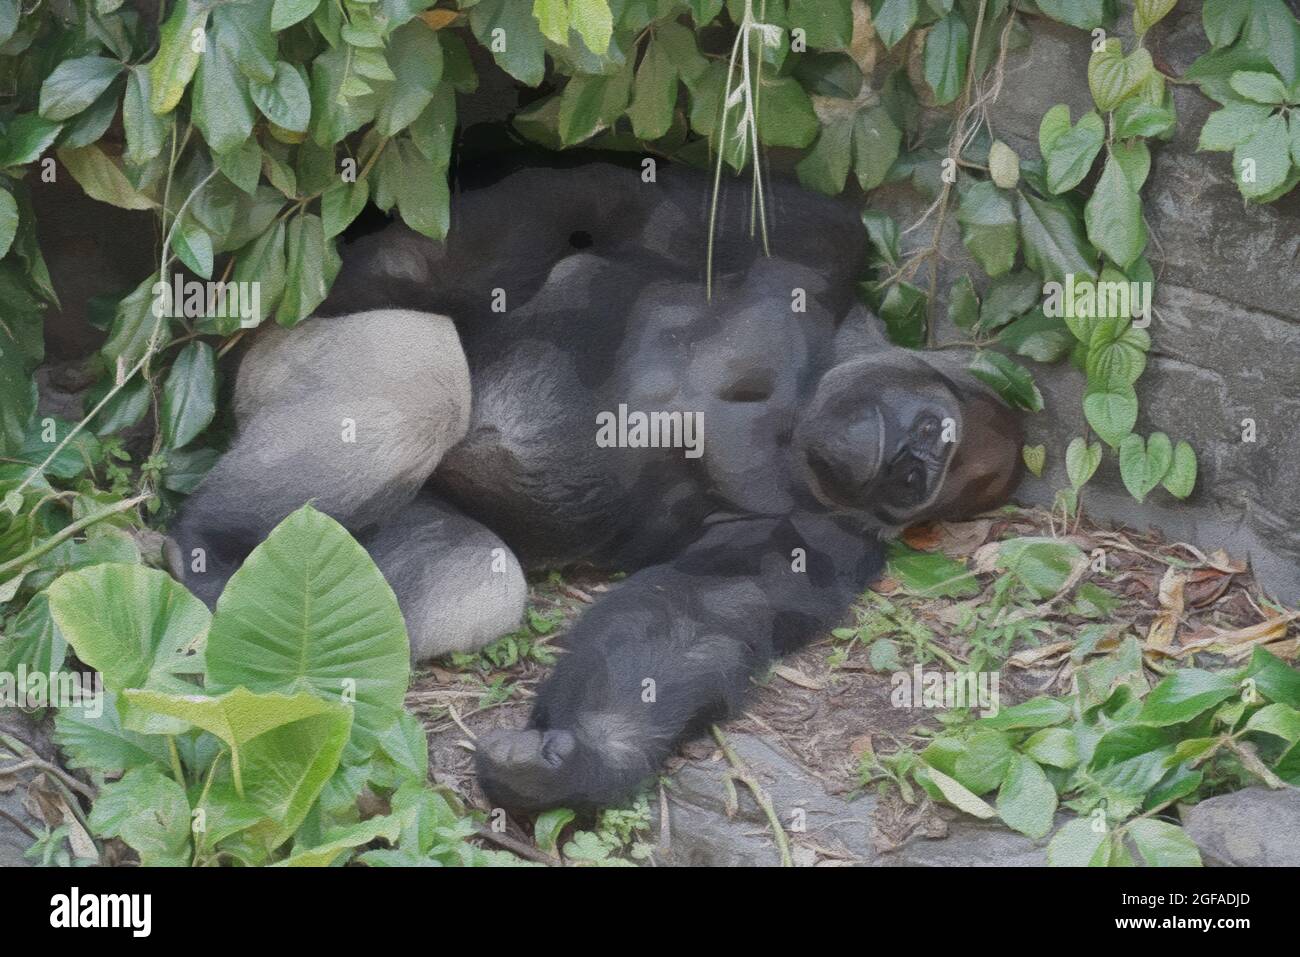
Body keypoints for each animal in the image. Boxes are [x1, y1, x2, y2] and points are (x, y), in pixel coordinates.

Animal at [170, 160, 1024, 812]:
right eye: (928, 435)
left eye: (916, 480)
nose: (902, 465)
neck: (811, 389)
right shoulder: (823, 239)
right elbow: (601, 205)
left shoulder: (833, 540)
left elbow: (695, 618)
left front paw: (580, 764)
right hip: (278, 370)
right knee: (422, 383)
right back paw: (213, 544)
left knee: (468, 580)